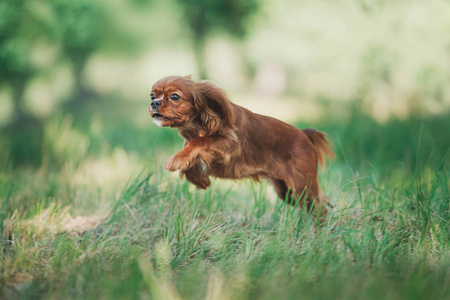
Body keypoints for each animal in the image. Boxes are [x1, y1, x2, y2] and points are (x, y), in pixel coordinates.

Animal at [150, 74, 334, 216]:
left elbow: (199, 141)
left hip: (302, 187)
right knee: (321, 201)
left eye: (174, 97)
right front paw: (198, 178)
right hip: (286, 191)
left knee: (319, 209)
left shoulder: (230, 144)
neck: (199, 123)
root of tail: (304, 135)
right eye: (152, 96)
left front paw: (175, 160)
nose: (154, 103)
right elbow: (190, 152)